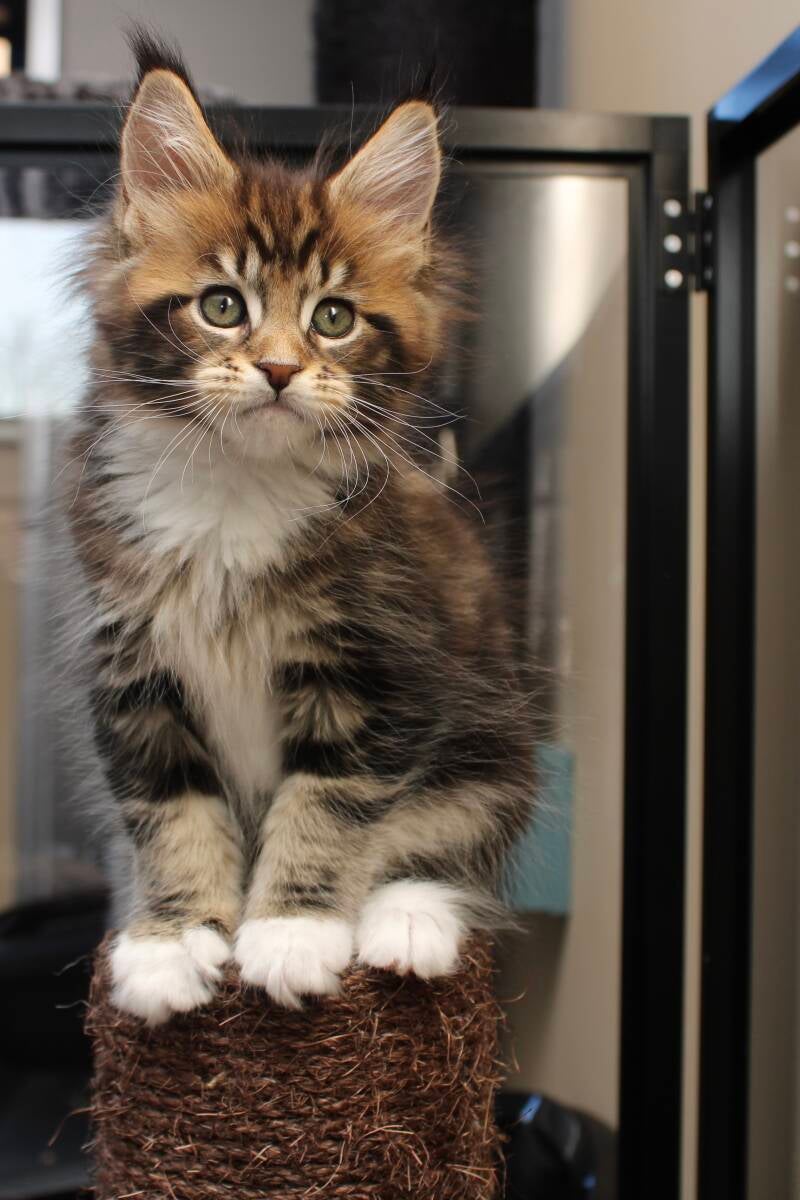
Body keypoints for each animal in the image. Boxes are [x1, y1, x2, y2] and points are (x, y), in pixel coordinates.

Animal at [64, 30, 534, 1024]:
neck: (238, 493)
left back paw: (405, 930)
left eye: (333, 319)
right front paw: (172, 943)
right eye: (222, 305)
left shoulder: (375, 669)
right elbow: (172, 814)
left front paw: (289, 934)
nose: (280, 369)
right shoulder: (135, 674)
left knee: (443, 849)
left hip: (490, 739)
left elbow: (328, 807)